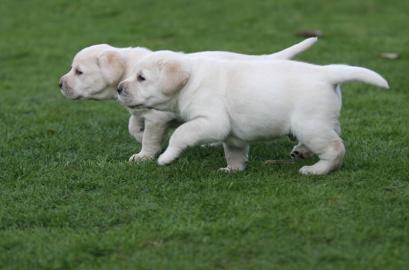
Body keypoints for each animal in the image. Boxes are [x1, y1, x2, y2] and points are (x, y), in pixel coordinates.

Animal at [59, 38, 318, 160]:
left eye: (79, 71)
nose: (60, 84)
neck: (130, 68)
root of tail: (261, 60)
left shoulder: (157, 116)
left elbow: (150, 137)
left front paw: (144, 154)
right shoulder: (142, 111)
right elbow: (133, 125)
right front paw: (139, 136)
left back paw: (303, 151)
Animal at [116, 51, 388, 175]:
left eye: (141, 78)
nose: (119, 88)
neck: (191, 79)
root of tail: (327, 73)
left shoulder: (212, 122)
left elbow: (181, 133)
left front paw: (166, 158)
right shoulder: (231, 134)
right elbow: (234, 151)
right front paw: (233, 170)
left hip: (311, 126)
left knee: (335, 148)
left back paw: (316, 170)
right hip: (321, 122)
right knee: (336, 133)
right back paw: (302, 152)